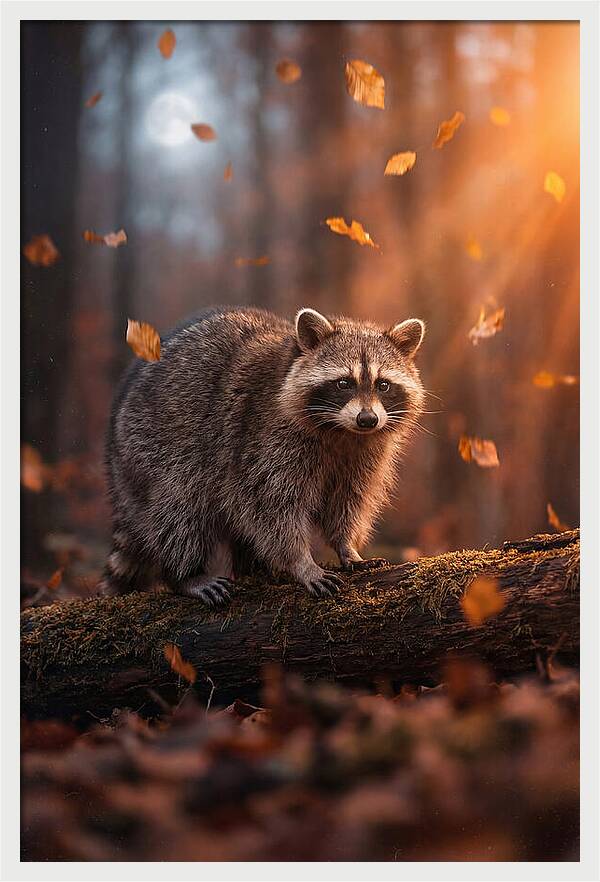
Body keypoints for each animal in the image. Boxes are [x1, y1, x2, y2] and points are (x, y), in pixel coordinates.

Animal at [102, 306, 426, 606]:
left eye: (383, 385)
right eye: (344, 383)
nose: (367, 419)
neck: (342, 431)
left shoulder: (364, 454)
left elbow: (347, 501)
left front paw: (347, 546)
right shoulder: (262, 438)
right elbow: (271, 507)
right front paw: (301, 562)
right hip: (153, 448)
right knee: (179, 509)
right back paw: (185, 574)